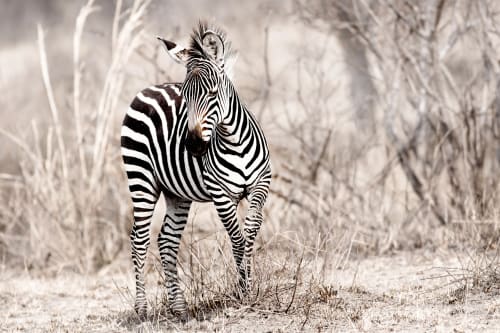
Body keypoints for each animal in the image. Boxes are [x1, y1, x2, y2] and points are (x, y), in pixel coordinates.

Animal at [121, 21, 272, 320]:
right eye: (185, 97)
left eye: (212, 93)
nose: (192, 145)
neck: (234, 140)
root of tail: (146, 90)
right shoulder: (221, 194)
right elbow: (236, 239)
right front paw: (243, 292)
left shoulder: (261, 183)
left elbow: (250, 229)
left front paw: (249, 283)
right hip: (141, 179)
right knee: (139, 239)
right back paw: (142, 308)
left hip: (176, 192)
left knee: (166, 240)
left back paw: (179, 308)